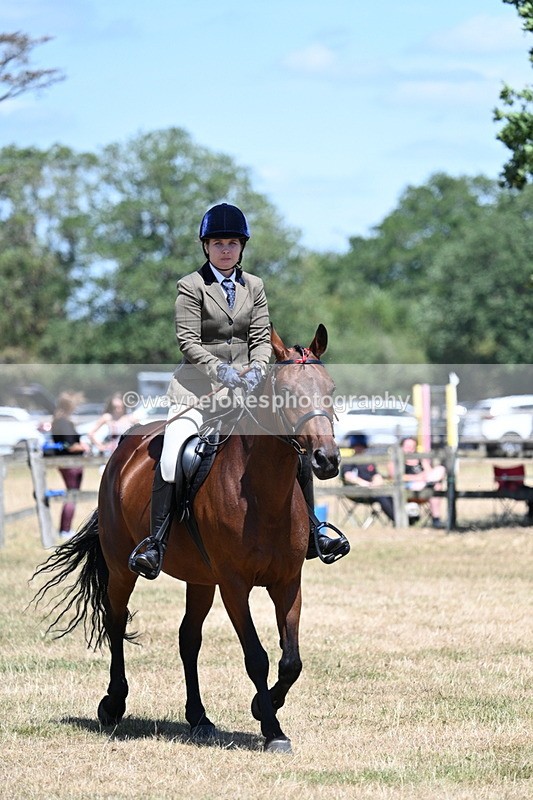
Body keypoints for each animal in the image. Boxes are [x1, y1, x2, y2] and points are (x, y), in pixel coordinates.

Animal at [32, 324, 341, 753]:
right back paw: (113, 704)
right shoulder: (234, 586)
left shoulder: (287, 582)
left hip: (200, 580)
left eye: (330, 389)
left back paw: (199, 718)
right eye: (286, 393)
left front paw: (264, 708)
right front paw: (272, 729)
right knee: (116, 622)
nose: (326, 460)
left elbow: (290, 661)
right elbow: (257, 657)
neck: (261, 493)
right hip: (122, 567)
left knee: (188, 639)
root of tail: (123, 448)